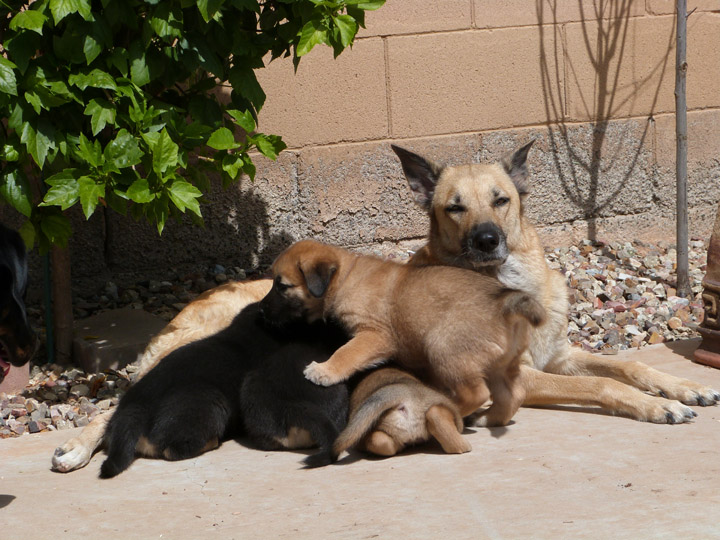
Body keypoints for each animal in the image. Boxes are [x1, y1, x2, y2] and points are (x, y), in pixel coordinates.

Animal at [256, 238, 544, 424]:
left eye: (282, 286)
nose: (260, 310)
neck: (345, 276)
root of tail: (503, 303)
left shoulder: (374, 335)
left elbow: (346, 353)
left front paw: (324, 370)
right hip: (501, 364)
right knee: (512, 395)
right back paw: (488, 418)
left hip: (443, 348)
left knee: (477, 393)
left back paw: (450, 408)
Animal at [390, 140, 720, 426]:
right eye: (455, 208)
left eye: (500, 200)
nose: (486, 240)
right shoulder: (519, 374)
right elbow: (603, 383)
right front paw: (657, 404)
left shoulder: (561, 358)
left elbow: (628, 365)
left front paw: (683, 386)